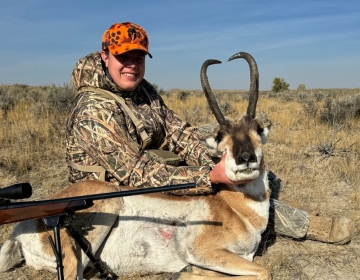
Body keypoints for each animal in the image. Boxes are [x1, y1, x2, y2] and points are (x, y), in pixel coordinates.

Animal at [0, 51, 270, 278]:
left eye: (257, 129)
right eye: (220, 136)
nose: (246, 158)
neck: (233, 208)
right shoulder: (203, 251)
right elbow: (263, 272)